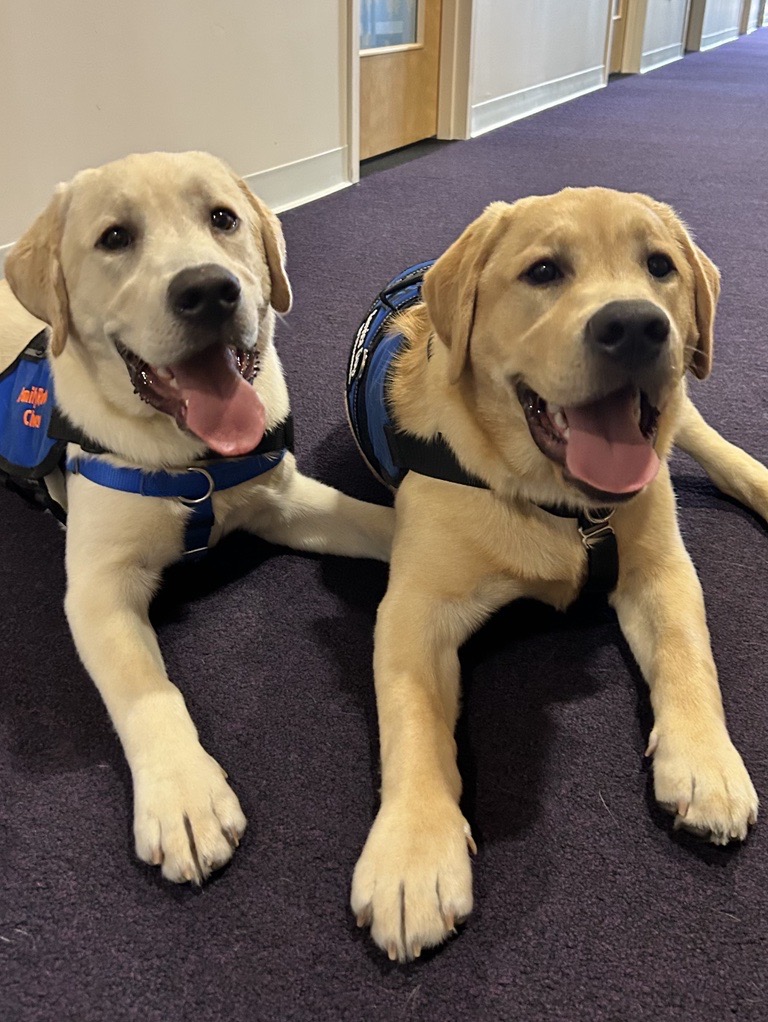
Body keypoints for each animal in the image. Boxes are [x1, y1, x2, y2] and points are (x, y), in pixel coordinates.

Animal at [0, 149, 392, 887]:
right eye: (115, 238)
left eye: (223, 219)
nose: (210, 291)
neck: (194, 460)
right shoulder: (98, 588)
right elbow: (148, 690)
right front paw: (184, 797)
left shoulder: (284, 499)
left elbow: (374, 520)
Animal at [345, 188, 768, 960]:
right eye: (543, 271)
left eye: (659, 266)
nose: (635, 326)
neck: (563, 505)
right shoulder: (414, 610)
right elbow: (413, 723)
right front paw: (412, 857)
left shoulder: (660, 568)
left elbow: (690, 656)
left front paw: (706, 762)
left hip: (679, 404)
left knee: (710, 442)